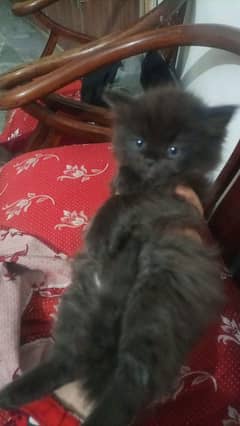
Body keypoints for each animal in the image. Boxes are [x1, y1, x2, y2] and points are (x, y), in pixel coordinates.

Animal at [0, 87, 235, 426]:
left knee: (133, 382)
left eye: (174, 150)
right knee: (71, 359)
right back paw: (14, 393)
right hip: (81, 304)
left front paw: (101, 230)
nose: (151, 158)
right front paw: (125, 182)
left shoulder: (175, 198)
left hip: (158, 301)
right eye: (138, 142)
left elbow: (129, 201)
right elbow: (124, 186)